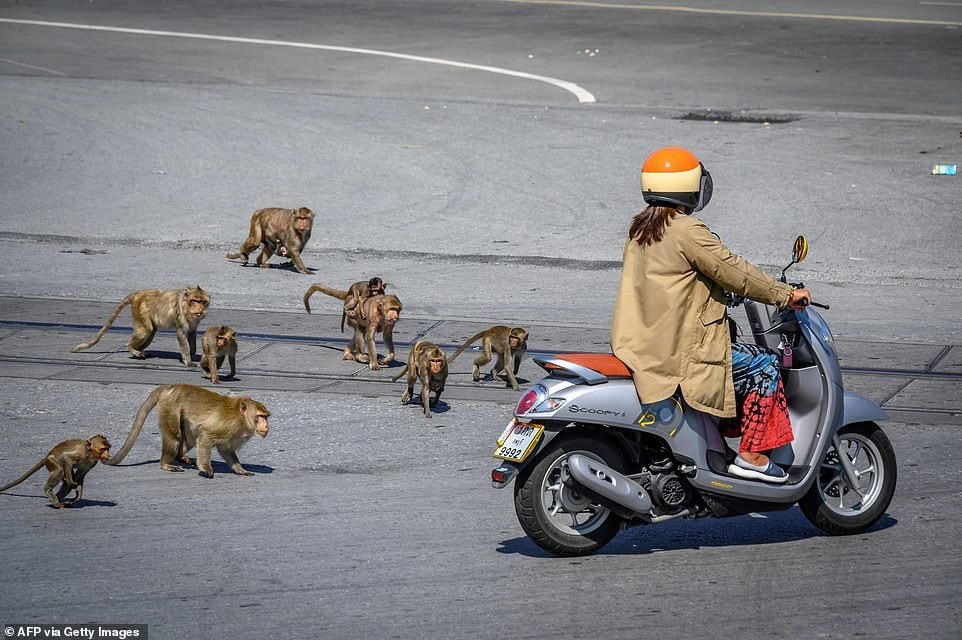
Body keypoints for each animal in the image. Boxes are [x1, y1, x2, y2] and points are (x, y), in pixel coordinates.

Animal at [69, 288, 210, 368]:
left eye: (202, 301)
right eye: (194, 301)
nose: (199, 308)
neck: (186, 305)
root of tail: (136, 295)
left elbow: (191, 333)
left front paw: (188, 355)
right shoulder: (179, 314)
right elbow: (181, 334)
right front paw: (187, 359)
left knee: (151, 331)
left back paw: (138, 350)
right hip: (140, 310)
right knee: (146, 330)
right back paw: (132, 349)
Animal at [107, 382, 268, 478]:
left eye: (266, 417)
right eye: (260, 416)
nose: (267, 426)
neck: (241, 419)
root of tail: (170, 387)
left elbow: (225, 449)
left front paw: (240, 469)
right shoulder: (227, 426)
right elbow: (205, 436)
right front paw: (205, 468)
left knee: (190, 438)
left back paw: (180, 456)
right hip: (170, 408)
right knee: (174, 436)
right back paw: (166, 464)